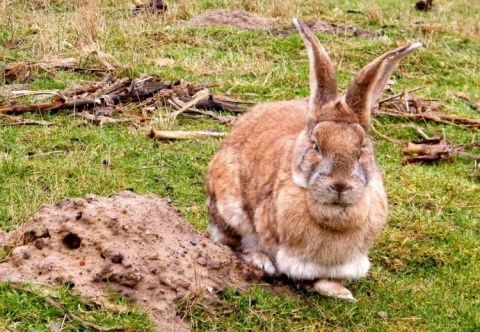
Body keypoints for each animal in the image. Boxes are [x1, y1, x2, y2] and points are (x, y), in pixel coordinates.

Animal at [204, 16, 422, 300]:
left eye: (362, 148)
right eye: (316, 146)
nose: (340, 185)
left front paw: (340, 291)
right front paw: (336, 291)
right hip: (228, 207)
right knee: (232, 243)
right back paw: (261, 260)